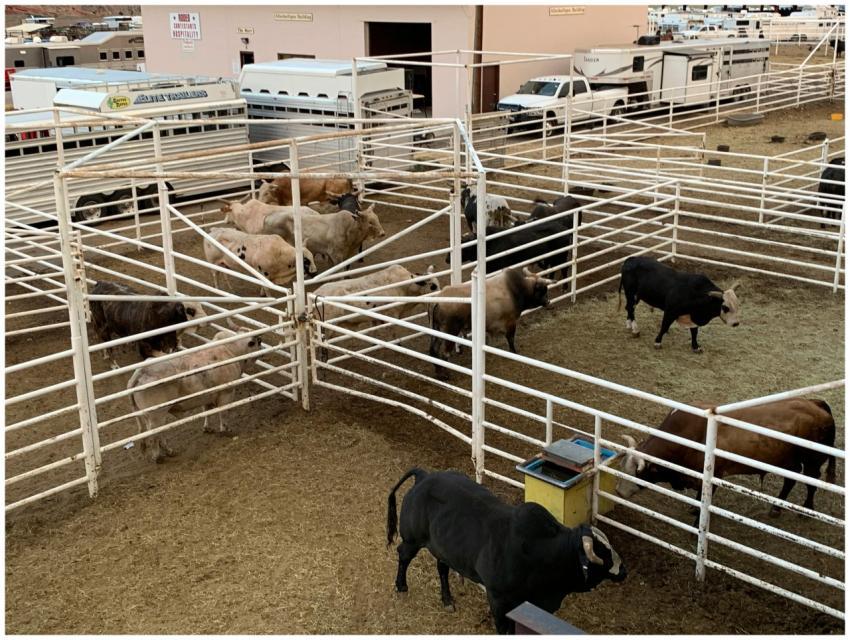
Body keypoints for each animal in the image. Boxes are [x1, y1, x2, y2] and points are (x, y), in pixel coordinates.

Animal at [127, 326, 262, 462]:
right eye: (257, 341)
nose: (262, 346)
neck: (230, 350)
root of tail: (141, 372)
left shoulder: (208, 395)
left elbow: (207, 411)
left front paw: (207, 428)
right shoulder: (226, 393)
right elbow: (223, 413)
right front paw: (226, 429)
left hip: (148, 416)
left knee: (158, 433)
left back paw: (169, 451)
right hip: (157, 415)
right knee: (154, 435)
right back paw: (158, 456)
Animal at [387, 468, 627, 634]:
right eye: (602, 554)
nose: (623, 570)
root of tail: (424, 476)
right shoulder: (498, 598)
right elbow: (504, 628)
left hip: (443, 547)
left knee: (442, 568)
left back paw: (447, 599)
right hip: (412, 540)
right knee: (403, 555)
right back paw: (401, 586)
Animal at [616, 398, 837, 519]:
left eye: (637, 474)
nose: (618, 492)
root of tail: (817, 404)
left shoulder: (713, 477)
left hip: (812, 461)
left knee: (812, 482)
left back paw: (807, 509)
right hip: (788, 462)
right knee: (790, 480)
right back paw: (776, 508)